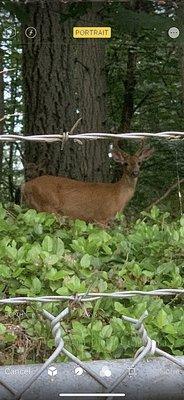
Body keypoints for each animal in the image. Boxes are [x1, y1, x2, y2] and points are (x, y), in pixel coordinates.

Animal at [20, 145, 154, 227]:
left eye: (139, 163)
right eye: (125, 163)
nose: (135, 172)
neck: (117, 194)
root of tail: (25, 186)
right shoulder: (101, 217)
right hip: (47, 206)